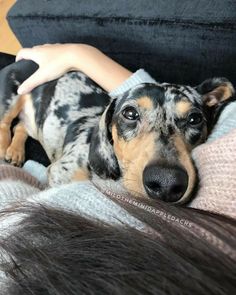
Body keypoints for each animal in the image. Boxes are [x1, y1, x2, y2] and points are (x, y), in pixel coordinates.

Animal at [0, 59, 234, 204]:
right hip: (11, 98)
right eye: (129, 113)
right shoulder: (60, 171)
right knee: (6, 123)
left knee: (20, 127)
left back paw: (16, 151)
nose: (167, 183)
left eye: (195, 119)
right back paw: (4, 147)